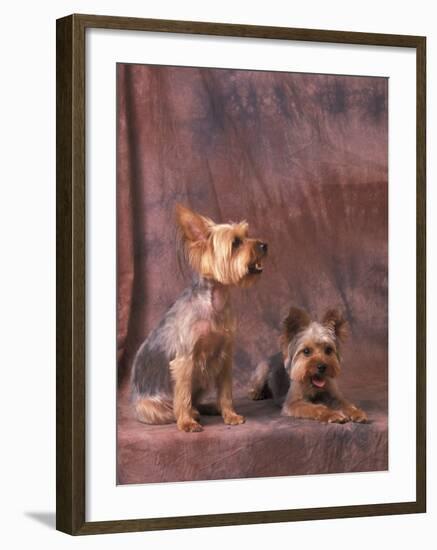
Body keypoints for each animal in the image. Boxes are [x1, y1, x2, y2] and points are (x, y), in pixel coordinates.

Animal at [129, 205, 266, 434]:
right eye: (236, 243)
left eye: (248, 235)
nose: (265, 245)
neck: (214, 302)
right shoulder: (185, 360)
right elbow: (183, 394)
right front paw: (186, 422)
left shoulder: (224, 356)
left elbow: (226, 391)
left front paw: (230, 415)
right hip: (150, 407)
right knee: (175, 407)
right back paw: (191, 414)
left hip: (202, 381)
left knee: (197, 400)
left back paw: (210, 407)